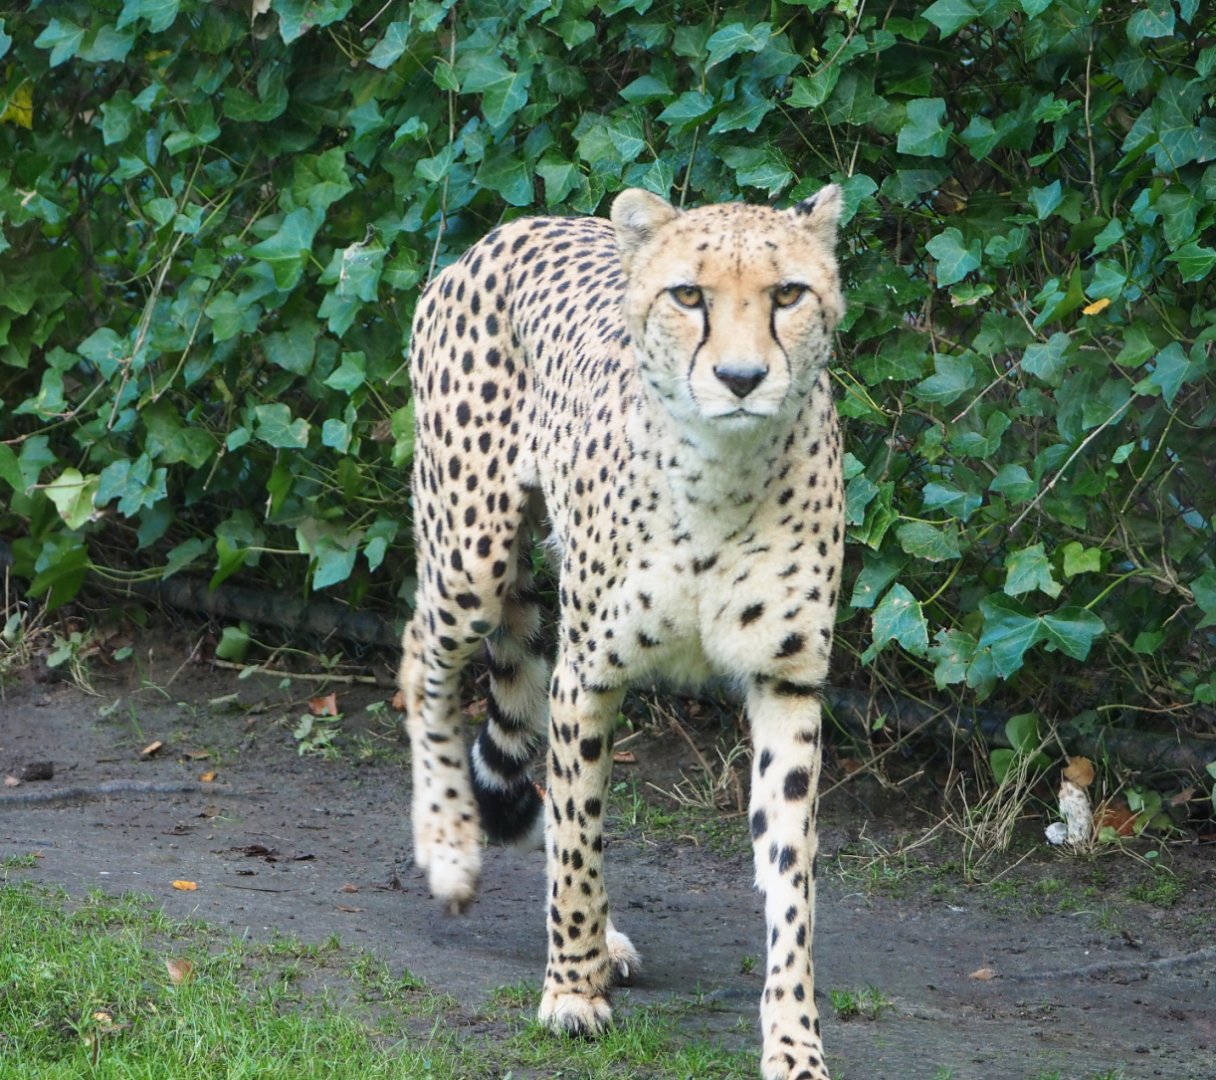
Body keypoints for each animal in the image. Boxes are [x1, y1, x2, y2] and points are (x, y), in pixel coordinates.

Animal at [398, 182, 845, 1080]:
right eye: (689, 295)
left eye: (788, 294)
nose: (741, 378)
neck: (723, 474)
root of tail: (514, 226)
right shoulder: (587, 676)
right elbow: (578, 842)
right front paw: (571, 989)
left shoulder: (787, 683)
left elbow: (791, 883)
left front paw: (794, 1041)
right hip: (471, 559)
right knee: (418, 656)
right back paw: (452, 849)